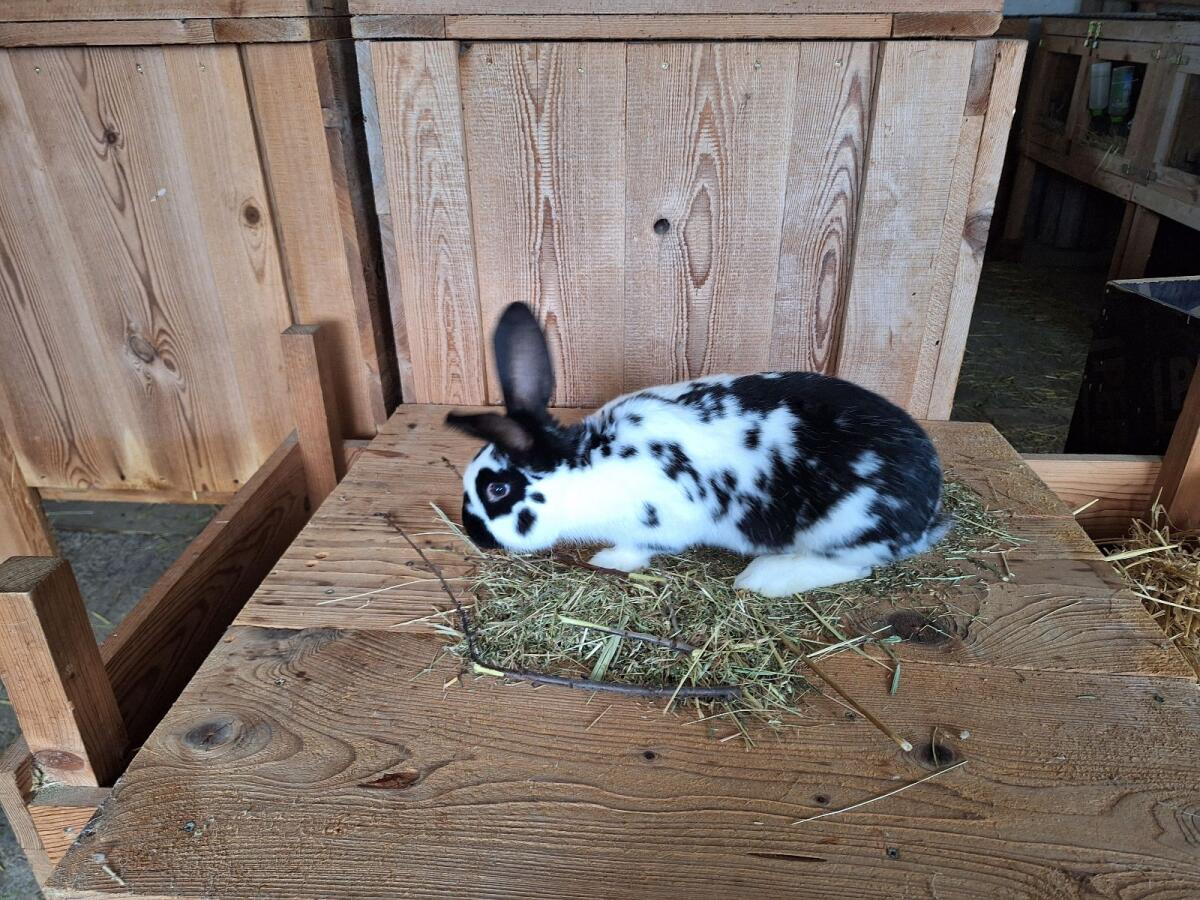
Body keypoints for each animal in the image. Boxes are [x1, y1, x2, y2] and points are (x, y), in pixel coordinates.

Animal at [446, 302, 950, 598]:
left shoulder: (659, 524)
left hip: (842, 530)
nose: (473, 533)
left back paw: (763, 578)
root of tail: (927, 509)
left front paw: (605, 560)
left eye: (496, 491)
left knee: (854, 568)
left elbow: (636, 548)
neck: (588, 467)